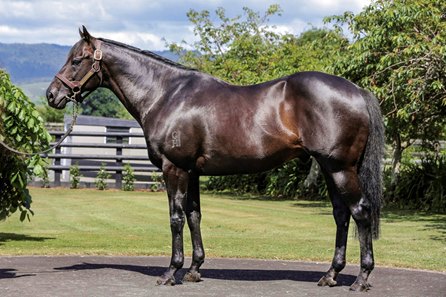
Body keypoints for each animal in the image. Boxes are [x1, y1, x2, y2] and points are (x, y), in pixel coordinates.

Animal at [47, 27, 386, 292]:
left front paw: (171, 272)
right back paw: (330, 275)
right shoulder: (192, 172)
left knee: (360, 211)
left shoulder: (174, 169)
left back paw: (361, 278)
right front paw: (194, 270)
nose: (52, 95)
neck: (166, 94)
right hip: (331, 169)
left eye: (76, 60)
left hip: (340, 168)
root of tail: (357, 91)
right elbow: (194, 216)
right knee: (341, 215)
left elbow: (175, 218)